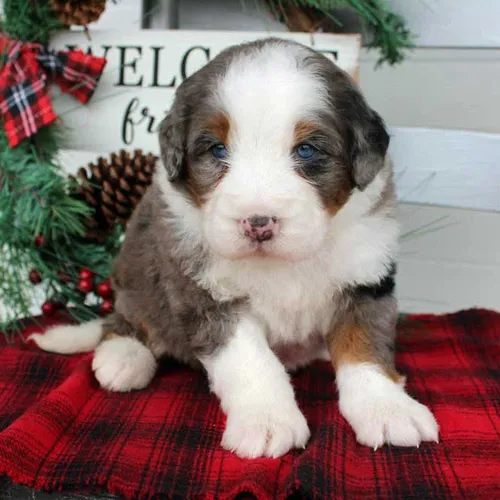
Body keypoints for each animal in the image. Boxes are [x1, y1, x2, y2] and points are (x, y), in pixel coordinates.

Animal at [33, 39, 438, 458]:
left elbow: (365, 350)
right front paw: (267, 422)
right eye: (216, 149)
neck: (285, 263)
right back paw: (124, 356)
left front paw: (388, 409)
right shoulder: (208, 295)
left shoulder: (365, 280)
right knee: (125, 319)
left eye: (307, 151)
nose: (258, 222)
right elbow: (251, 361)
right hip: (135, 271)